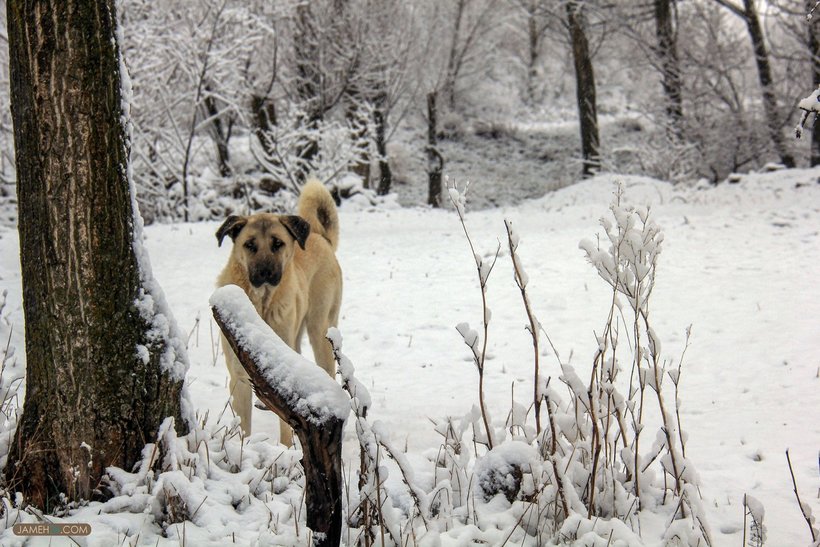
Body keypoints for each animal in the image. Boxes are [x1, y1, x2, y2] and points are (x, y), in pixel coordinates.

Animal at [215, 180, 342, 446]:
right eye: (249, 245)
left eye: (277, 243)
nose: (265, 272)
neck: (261, 304)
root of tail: (320, 237)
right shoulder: (239, 378)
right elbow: (244, 428)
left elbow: (286, 426)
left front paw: (285, 450)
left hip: (319, 328)